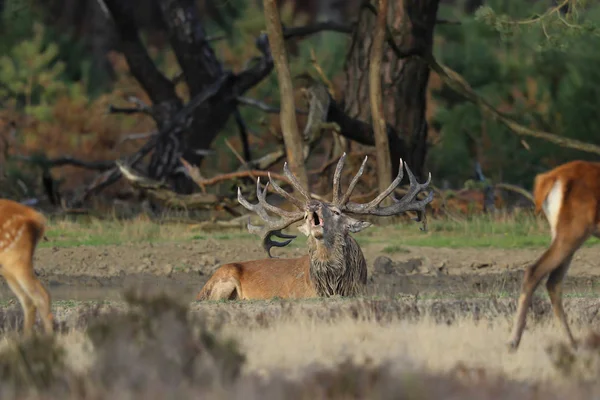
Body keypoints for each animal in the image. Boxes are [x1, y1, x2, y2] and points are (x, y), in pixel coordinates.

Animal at [195, 153, 434, 300]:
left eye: (337, 212)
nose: (313, 205)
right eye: (303, 215)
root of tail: (201, 289)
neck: (333, 285)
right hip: (223, 280)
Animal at [508, 161, 600, 352]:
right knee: (535, 271)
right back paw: (513, 342)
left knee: (553, 281)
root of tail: (549, 178)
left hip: (561, 232)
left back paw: (573, 344)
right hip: (574, 230)